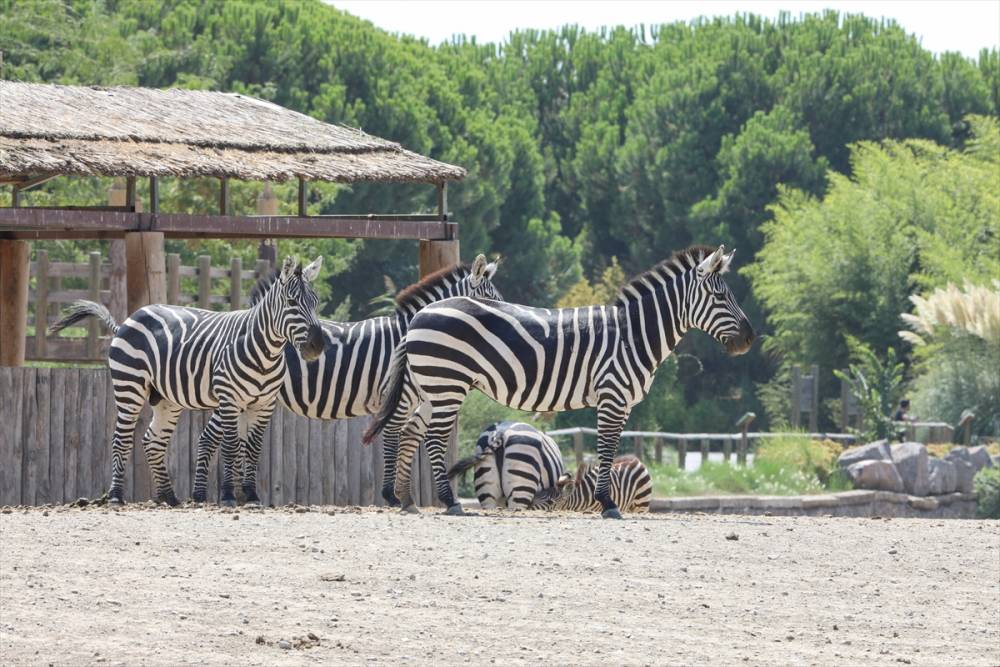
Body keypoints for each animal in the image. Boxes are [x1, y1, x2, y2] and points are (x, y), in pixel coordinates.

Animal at [48, 256, 322, 506]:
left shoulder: (264, 404)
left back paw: (169, 497)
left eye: (316, 303)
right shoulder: (229, 399)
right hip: (129, 387)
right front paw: (228, 496)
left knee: (153, 441)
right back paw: (116, 496)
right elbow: (231, 446)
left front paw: (252, 495)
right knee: (121, 439)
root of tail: (128, 319)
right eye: (291, 302)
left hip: (166, 400)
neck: (266, 351)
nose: (317, 345)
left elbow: (253, 449)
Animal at [204, 254, 504, 506]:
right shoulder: (397, 399)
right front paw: (391, 496)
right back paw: (218, 495)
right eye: (490, 302)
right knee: (214, 435)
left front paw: (401, 495)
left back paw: (235, 494)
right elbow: (392, 441)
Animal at [366, 243, 752, 520]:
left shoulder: (622, 401)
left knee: (408, 430)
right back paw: (449, 502)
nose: (749, 339)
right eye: (721, 296)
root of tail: (419, 314)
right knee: (432, 437)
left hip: (430, 384)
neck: (632, 335)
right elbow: (606, 449)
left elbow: (609, 450)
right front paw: (608, 504)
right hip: (446, 383)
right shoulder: (612, 394)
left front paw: (605, 501)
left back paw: (406, 499)